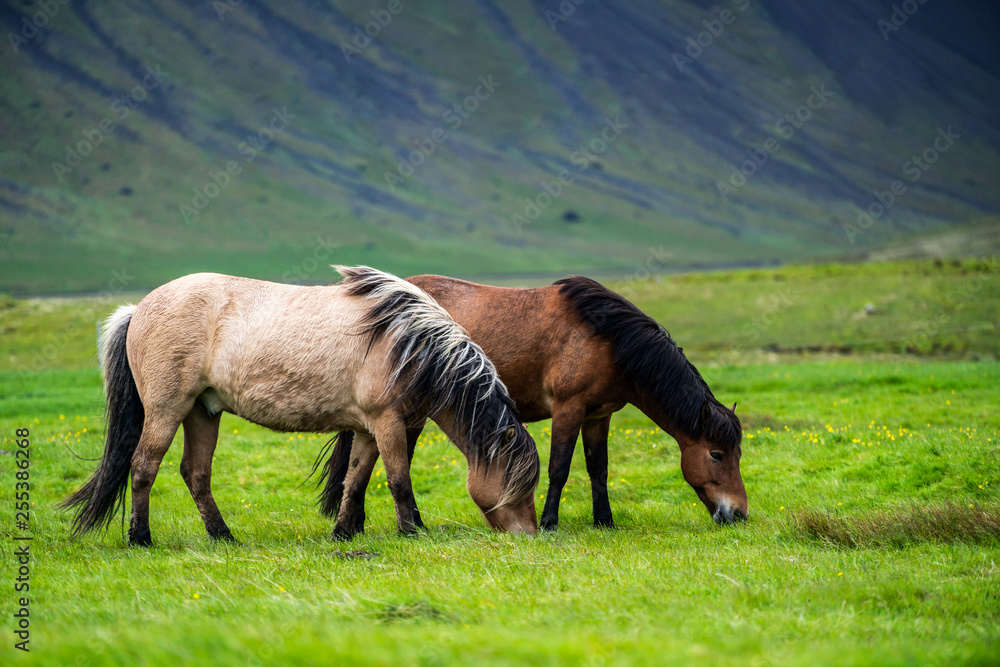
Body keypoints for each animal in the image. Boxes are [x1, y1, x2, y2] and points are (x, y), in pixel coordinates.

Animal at [62, 264, 540, 544]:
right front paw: (411, 532)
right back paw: (140, 538)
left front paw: (343, 533)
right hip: (167, 411)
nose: (531, 534)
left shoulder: (368, 429)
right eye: (518, 481)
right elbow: (399, 479)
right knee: (144, 466)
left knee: (195, 474)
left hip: (203, 412)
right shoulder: (388, 424)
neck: (410, 345)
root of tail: (138, 309)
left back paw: (223, 536)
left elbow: (356, 480)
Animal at [322, 272, 752, 532]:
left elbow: (598, 469)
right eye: (716, 454)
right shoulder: (568, 409)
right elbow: (560, 468)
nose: (738, 513)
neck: (608, 341)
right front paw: (548, 522)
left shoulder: (599, 417)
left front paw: (605, 521)